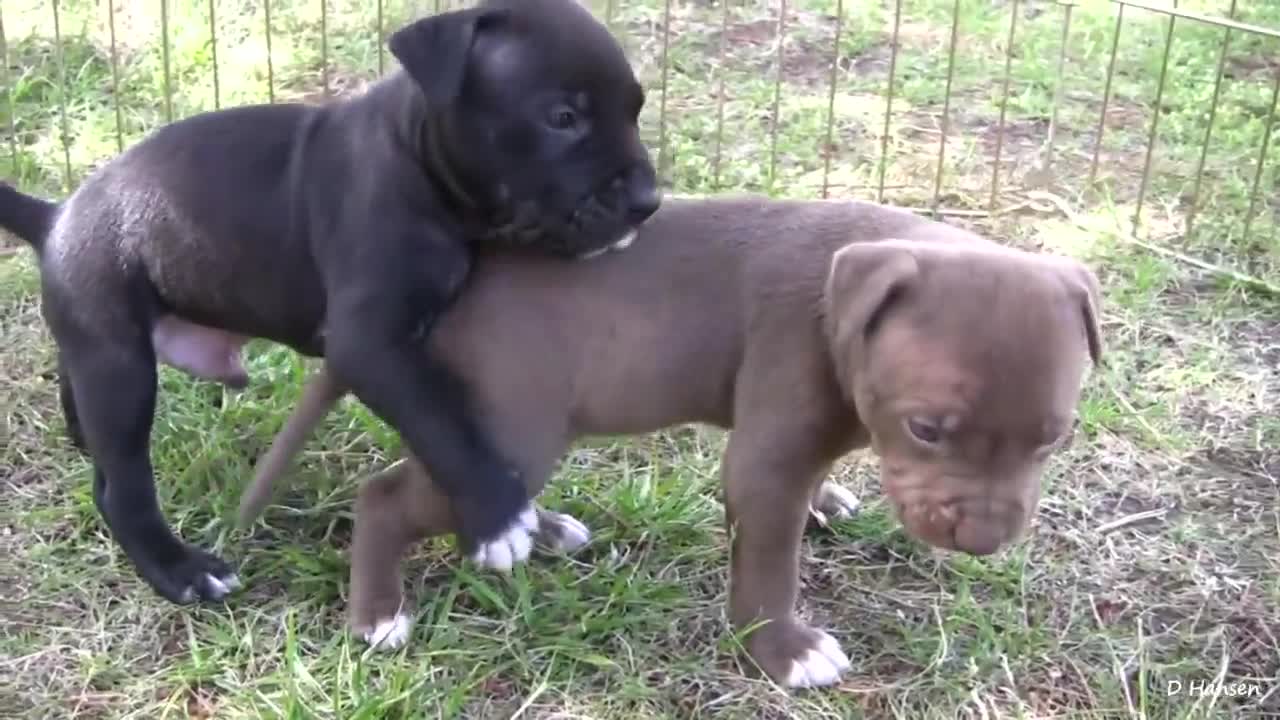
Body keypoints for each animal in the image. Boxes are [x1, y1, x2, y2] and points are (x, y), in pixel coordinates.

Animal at [0, 0, 660, 602]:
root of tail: (57, 217)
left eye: (636, 108)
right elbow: (442, 425)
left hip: (99, 345)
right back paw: (179, 569)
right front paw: (500, 517)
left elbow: (464, 428)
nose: (648, 201)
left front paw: (533, 517)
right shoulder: (372, 346)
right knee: (121, 485)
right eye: (563, 117)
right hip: (120, 364)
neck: (418, 161)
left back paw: (85, 441)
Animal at [238, 193, 1100, 686]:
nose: (983, 539)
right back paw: (379, 616)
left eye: (1052, 440)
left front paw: (827, 501)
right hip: (519, 423)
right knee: (391, 496)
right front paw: (783, 652)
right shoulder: (765, 460)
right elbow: (768, 566)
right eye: (926, 429)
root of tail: (445, 292)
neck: (842, 301)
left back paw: (538, 531)